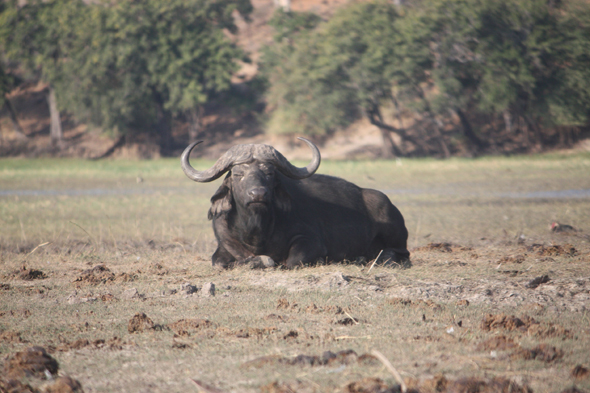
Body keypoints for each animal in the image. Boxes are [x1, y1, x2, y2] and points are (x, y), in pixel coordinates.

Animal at [182, 136, 412, 268]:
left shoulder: (311, 241)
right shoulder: (224, 244)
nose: (258, 194)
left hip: (392, 229)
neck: (256, 229)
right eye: (238, 174)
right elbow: (218, 262)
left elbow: (291, 261)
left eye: (269, 172)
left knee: (400, 254)